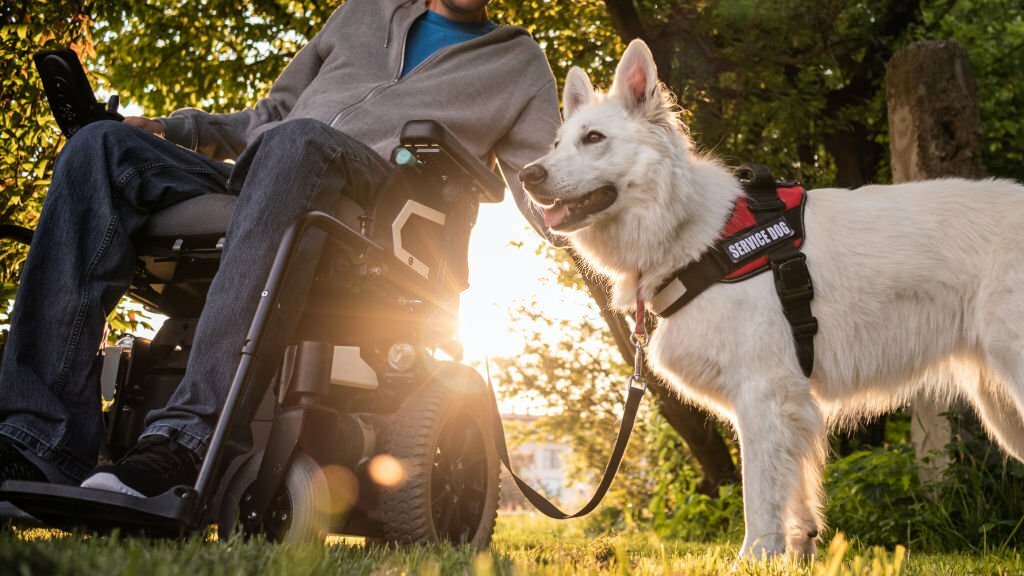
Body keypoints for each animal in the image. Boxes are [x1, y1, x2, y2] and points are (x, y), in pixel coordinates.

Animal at [520, 39, 1024, 557]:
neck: (695, 232)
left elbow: (760, 498)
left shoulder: (763, 396)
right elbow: (795, 502)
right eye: (558, 144)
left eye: (594, 138)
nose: (526, 174)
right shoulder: (787, 407)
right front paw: (796, 553)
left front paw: (753, 557)